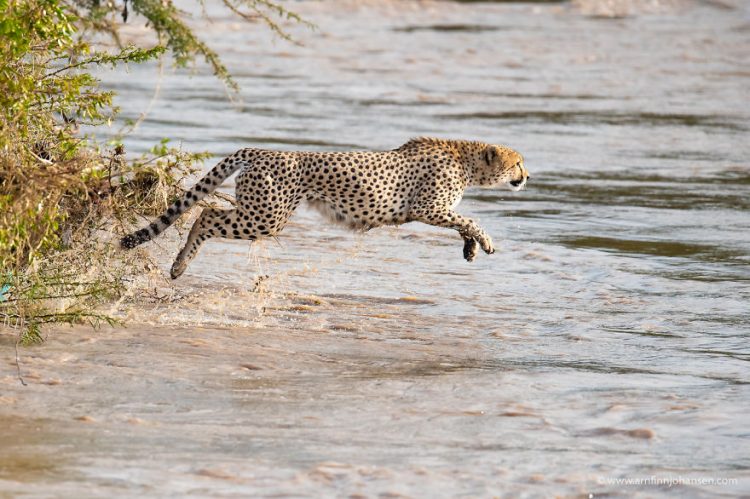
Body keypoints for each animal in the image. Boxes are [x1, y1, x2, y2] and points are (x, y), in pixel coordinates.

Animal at [122, 139, 528, 280]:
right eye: (518, 162)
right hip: (266, 217)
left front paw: (470, 249)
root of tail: (261, 149)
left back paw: (178, 266)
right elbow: (470, 218)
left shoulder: (435, 211)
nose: (527, 176)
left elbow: (463, 223)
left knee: (203, 214)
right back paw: (179, 265)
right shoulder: (427, 207)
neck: (466, 159)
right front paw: (485, 243)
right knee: (205, 215)